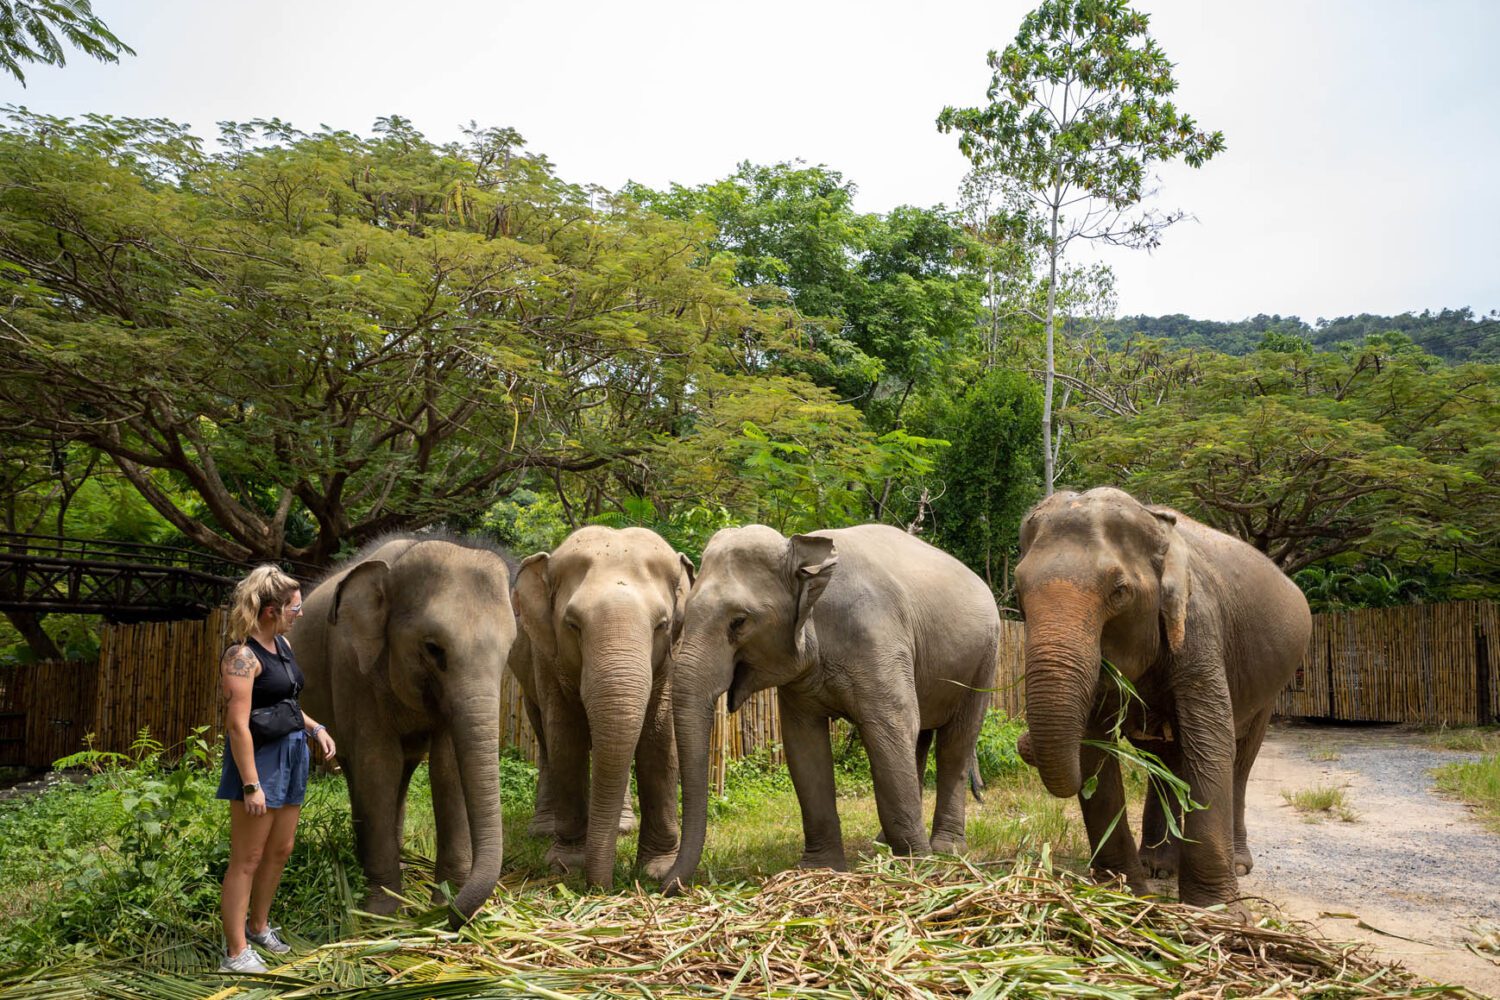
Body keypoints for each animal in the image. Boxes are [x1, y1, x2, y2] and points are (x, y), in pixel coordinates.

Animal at [292, 536, 516, 929]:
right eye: (433, 648)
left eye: (509, 650)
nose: (457, 918)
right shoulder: (352, 668)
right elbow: (378, 764)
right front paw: (382, 913)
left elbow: (447, 767)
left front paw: (441, 902)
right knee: (361, 769)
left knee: (402, 771)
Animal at [507, 527, 687, 887]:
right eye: (573, 624)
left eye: (661, 625)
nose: (604, 885)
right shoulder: (546, 656)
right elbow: (566, 739)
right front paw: (566, 865)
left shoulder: (669, 659)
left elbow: (659, 740)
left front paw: (657, 870)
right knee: (543, 737)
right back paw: (543, 829)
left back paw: (623, 827)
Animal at [666, 524, 996, 893]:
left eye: (739, 622)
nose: (661, 883)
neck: (805, 555)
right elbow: (804, 747)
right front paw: (818, 869)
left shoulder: (877, 639)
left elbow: (891, 728)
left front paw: (915, 867)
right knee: (919, 741)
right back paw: (884, 843)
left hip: (984, 659)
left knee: (956, 743)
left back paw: (945, 849)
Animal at [1014, 488, 1308, 911]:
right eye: (1018, 593)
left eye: (1119, 591)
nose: (1024, 745)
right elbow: (1095, 751)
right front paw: (1122, 895)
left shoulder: (1199, 628)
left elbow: (1209, 743)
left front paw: (1219, 913)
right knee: (1164, 758)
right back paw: (1157, 866)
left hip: (1271, 686)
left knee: (1241, 757)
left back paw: (1236, 864)